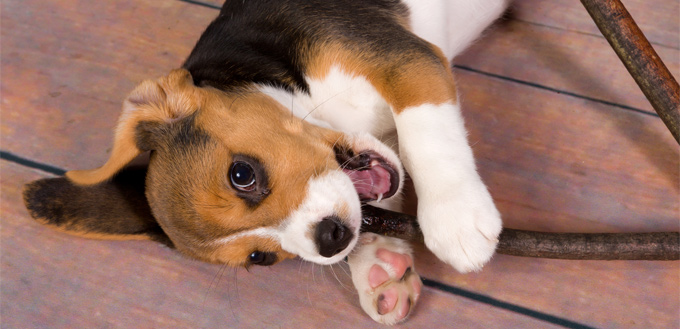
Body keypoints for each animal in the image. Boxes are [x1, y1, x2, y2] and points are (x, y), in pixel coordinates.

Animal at [23, 0, 508, 322]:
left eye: (242, 174)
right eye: (261, 259)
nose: (330, 239)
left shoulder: (407, 63)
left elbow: (426, 128)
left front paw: (455, 215)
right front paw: (380, 265)